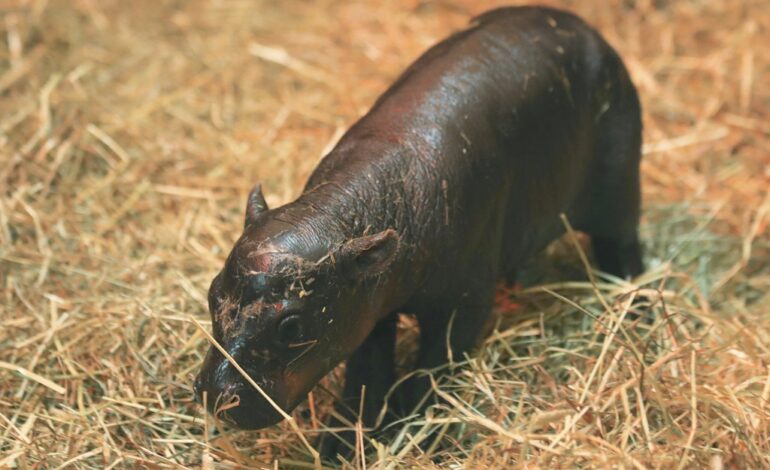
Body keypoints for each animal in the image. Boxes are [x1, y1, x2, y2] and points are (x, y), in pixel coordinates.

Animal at [192, 5, 640, 456]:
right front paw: (340, 446)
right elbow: (367, 374)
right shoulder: (368, 306)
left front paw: (413, 432)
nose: (215, 395)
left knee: (623, 247)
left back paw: (635, 308)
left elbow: (434, 368)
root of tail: (583, 26)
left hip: (619, 190)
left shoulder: (464, 303)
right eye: (212, 293)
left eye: (292, 326)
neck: (339, 213)